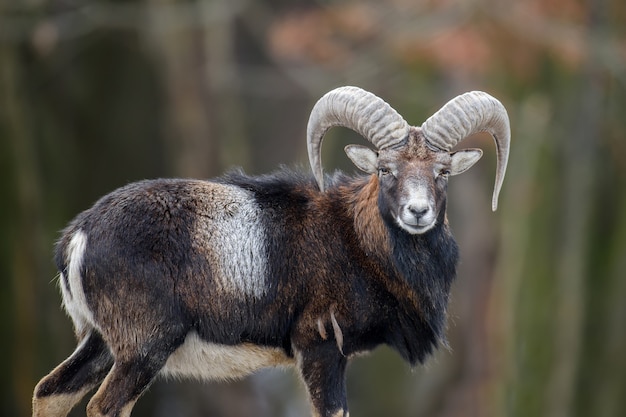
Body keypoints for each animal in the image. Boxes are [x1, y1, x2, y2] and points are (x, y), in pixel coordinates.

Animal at [33, 86, 508, 416]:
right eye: (384, 169)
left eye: (442, 171)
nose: (418, 211)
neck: (357, 244)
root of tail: (78, 236)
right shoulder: (320, 349)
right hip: (142, 350)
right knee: (103, 406)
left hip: (99, 344)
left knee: (49, 393)